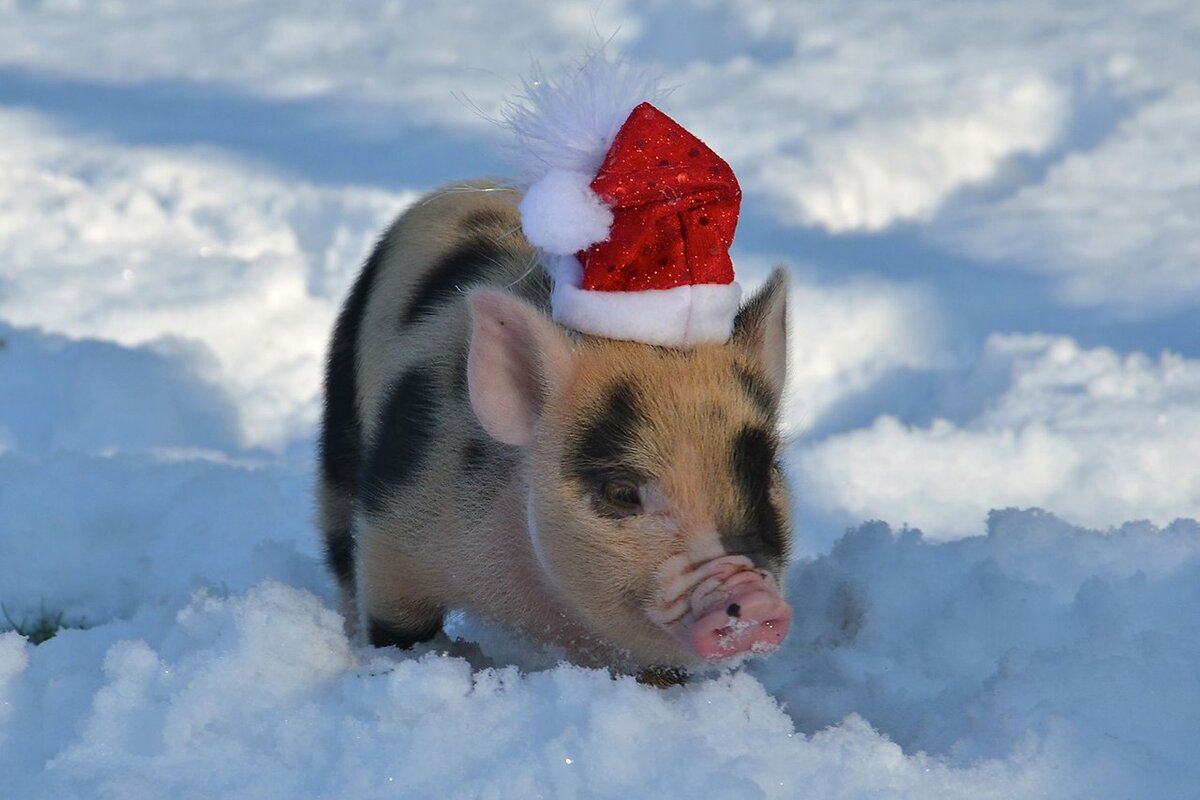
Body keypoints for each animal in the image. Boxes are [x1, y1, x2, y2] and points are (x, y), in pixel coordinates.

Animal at [314, 179, 792, 676]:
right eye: (622, 492)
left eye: (767, 471)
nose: (753, 598)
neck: (543, 612)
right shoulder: (396, 524)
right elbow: (398, 621)